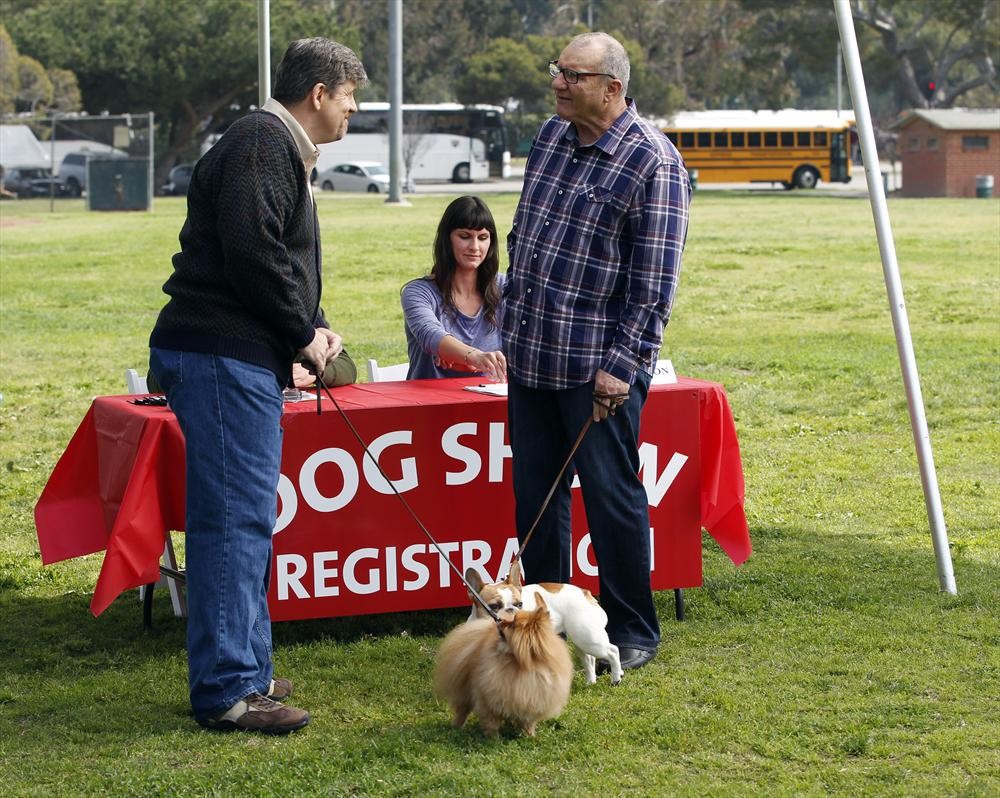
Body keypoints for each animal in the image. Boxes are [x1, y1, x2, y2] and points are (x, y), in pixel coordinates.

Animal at [434, 596, 576, 740]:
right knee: (462, 710)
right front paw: (494, 738)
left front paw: (529, 736)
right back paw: (457, 727)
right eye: (509, 622)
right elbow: (491, 721)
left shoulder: (532, 698)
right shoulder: (490, 699)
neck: (523, 663)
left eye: (511, 625)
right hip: (465, 692)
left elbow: (528, 722)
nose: (499, 621)